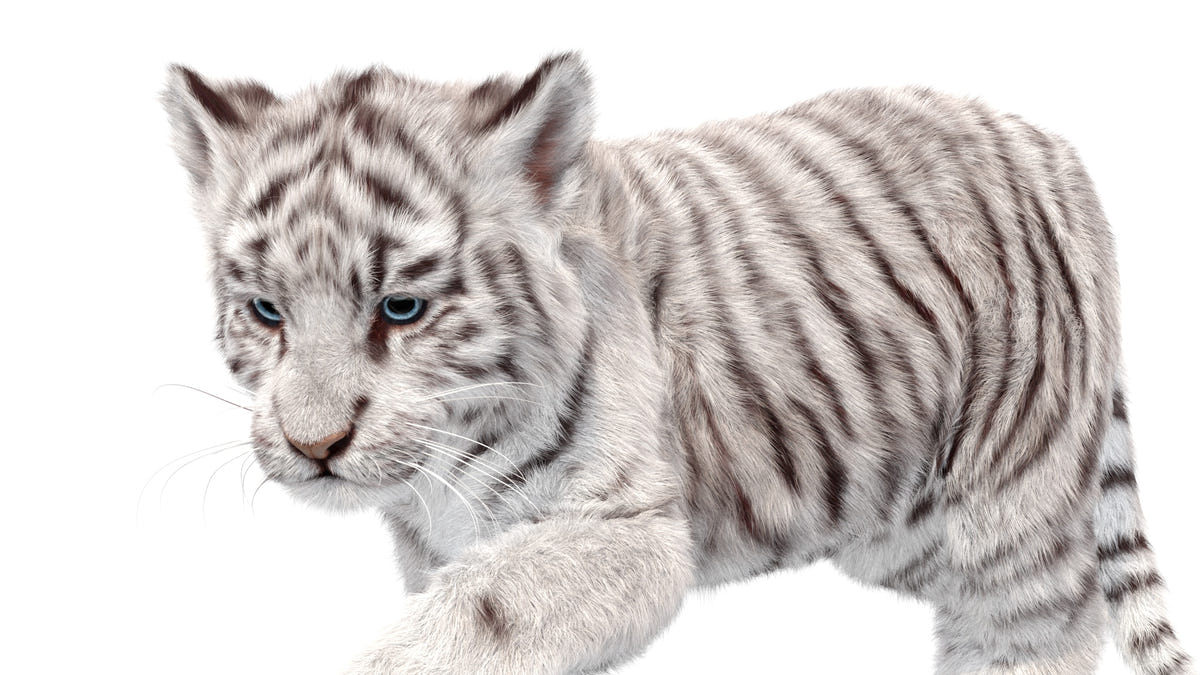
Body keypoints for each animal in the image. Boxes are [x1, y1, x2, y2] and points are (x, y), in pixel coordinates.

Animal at [162, 52, 1194, 674]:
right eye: (267, 310)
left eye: (400, 308)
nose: (314, 446)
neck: (438, 473)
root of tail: (1044, 142)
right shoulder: (449, 548)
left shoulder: (624, 527)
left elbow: (471, 620)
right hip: (898, 515)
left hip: (1008, 510)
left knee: (1048, 618)